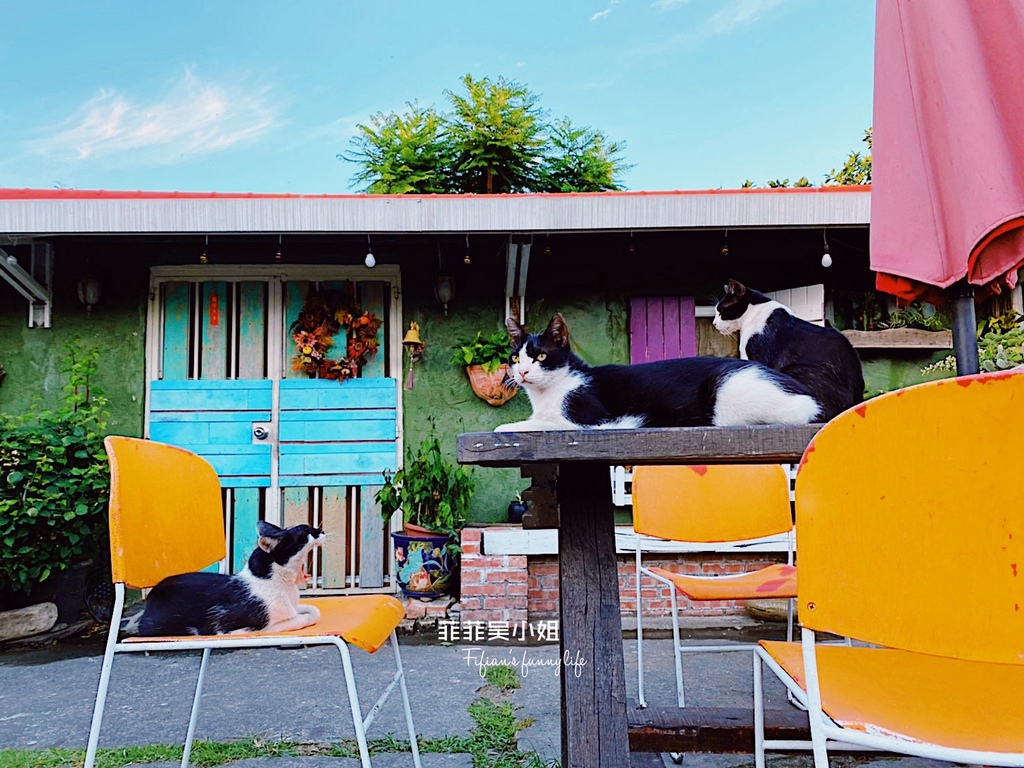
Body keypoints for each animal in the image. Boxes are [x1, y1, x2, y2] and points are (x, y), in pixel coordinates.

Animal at [138, 524, 323, 638]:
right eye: (306, 532)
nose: (321, 530)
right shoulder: (230, 629)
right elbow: (298, 619)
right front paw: (302, 618)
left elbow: (313, 610)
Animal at [495, 313, 823, 434]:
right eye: (516, 357)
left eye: (541, 356)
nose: (522, 372)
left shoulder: (592, 420)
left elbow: (537, 424)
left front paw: (508, 426)